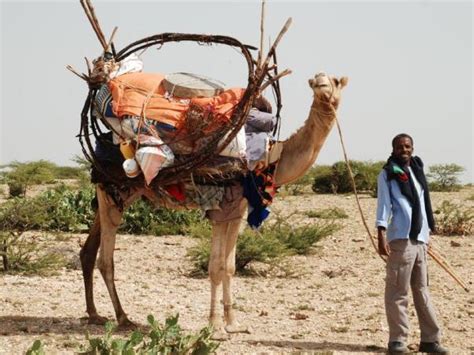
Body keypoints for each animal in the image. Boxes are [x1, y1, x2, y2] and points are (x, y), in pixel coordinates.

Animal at [78, 71, 348, 336]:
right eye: (316, 82)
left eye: (334, 81)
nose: (322, 85)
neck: (270, 160)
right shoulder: (220, 210)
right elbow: (215, 267)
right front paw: (216, 326)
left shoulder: (237, 211)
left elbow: (229, 267)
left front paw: (234, 324)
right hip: (112, 190)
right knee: (106, 259)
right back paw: (123, 318)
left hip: (120, 193)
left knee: (89, 250)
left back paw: (94, 314)